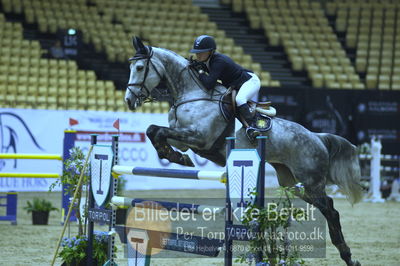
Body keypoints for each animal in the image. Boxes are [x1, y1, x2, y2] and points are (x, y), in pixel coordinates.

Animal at [126, 36, 362, 264]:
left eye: (140, 67)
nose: (129, 100)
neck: (191, 93)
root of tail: (317, 137)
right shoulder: (185, 139)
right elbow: (153, 131)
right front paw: (175, 156)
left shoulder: (199, 138)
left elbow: (158, 132)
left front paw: (178, 158)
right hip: (292, 183)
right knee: (327, 205)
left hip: (311, 181)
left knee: (330, 210)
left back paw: (347, 255)